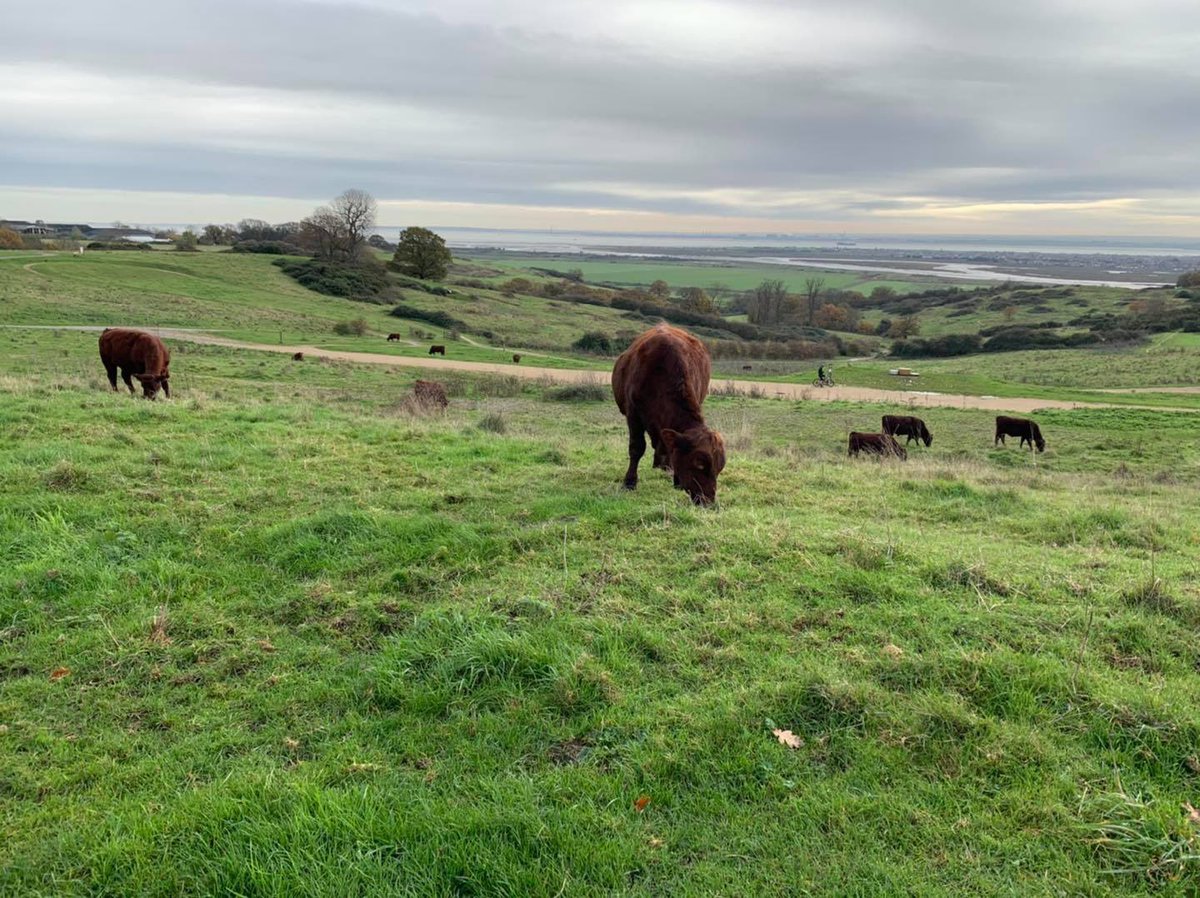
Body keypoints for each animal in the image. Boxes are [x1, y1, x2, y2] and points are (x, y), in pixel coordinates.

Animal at [614, 324, 724, 509]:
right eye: (699, 464)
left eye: (720, 467)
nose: (708, 502)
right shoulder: (633, 414)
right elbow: (636, 448)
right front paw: (629, 482)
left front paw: (675, 477)